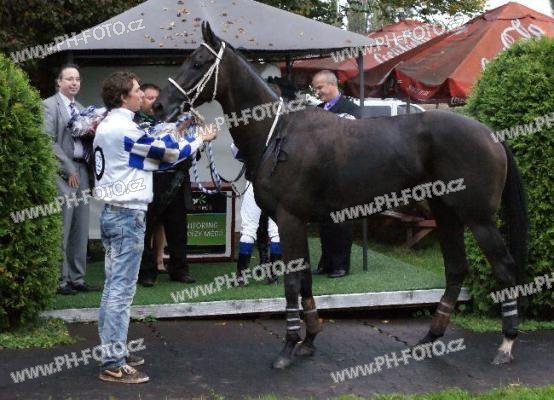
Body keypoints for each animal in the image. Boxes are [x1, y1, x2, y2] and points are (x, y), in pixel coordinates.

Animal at [153, 22, 528, 369]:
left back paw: (507, 343)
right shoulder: (295, 221)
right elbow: (305, 279)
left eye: (198, 61)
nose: (158, 105)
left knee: (505, 268)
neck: (279, 135)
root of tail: (490, 133)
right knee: (456, 268)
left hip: (479, 219)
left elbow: (292, 282)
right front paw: (309, 338)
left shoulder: (289, 220)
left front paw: (289, 346)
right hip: (446, 213)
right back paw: (432, 336)